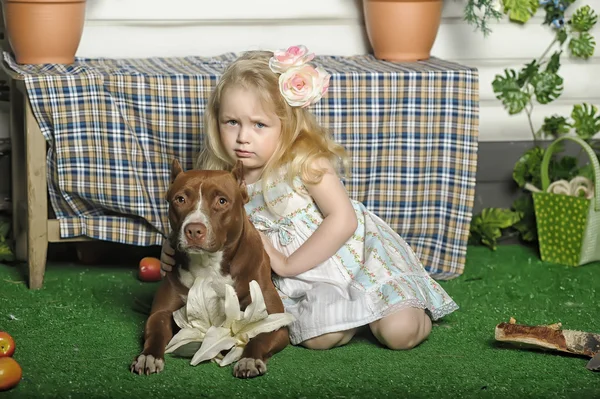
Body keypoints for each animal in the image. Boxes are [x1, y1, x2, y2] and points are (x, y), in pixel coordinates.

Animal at [131, 159, 290, 378]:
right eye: (180, 199)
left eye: (222, 201)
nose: (194, 230)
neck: (208, 264)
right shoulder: (160, 313)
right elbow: (156, 331)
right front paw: (149, 356)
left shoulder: (275, 322)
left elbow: (259, 337)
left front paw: (249, 360)